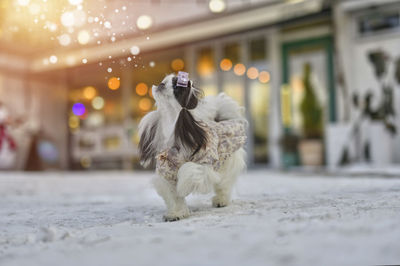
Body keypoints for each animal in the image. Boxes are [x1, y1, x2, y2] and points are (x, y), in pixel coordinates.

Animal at [138, 72, 245, 220]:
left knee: (224, 184)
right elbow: (173, 196)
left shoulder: (204, 164)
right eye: (163, 81)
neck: (172, 125)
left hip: (227, 164)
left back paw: (221, 201)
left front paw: (183, 187)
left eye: (176, 87)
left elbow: (188, 170)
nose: (161, 84)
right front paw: (176, 214)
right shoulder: (166, 169)